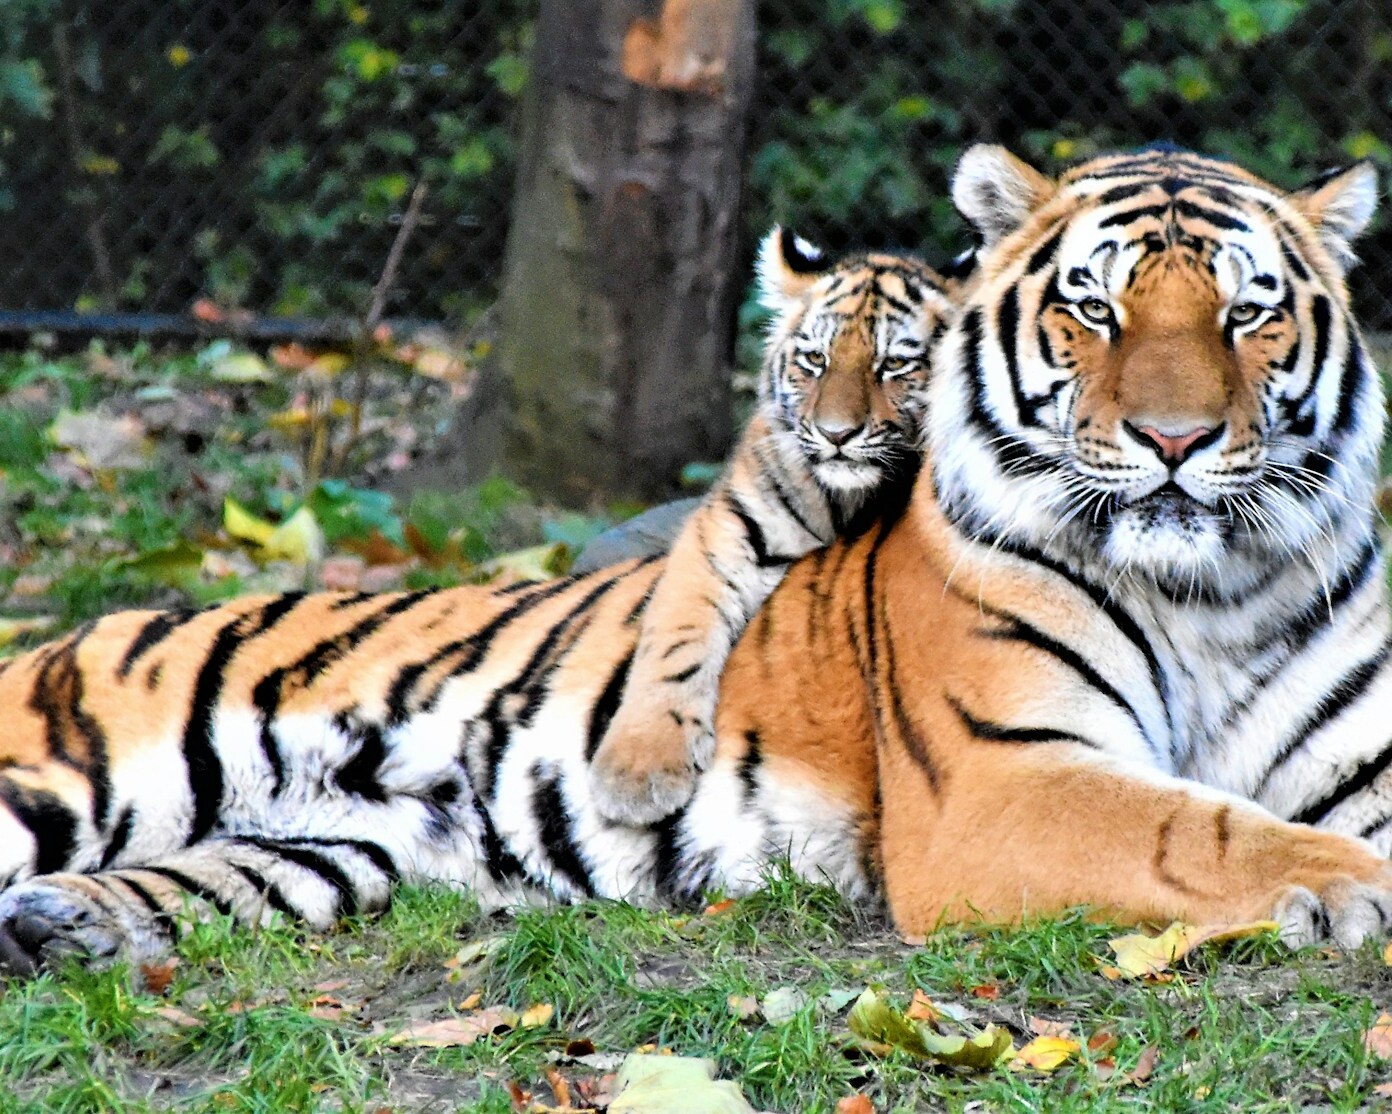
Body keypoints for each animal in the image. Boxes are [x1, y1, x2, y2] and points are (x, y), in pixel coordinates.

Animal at [587, 227, 954, 824]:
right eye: (815, 359)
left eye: (895, 366)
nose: (836, 434)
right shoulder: (725, 531)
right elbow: (674, 636)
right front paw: (638, 771)